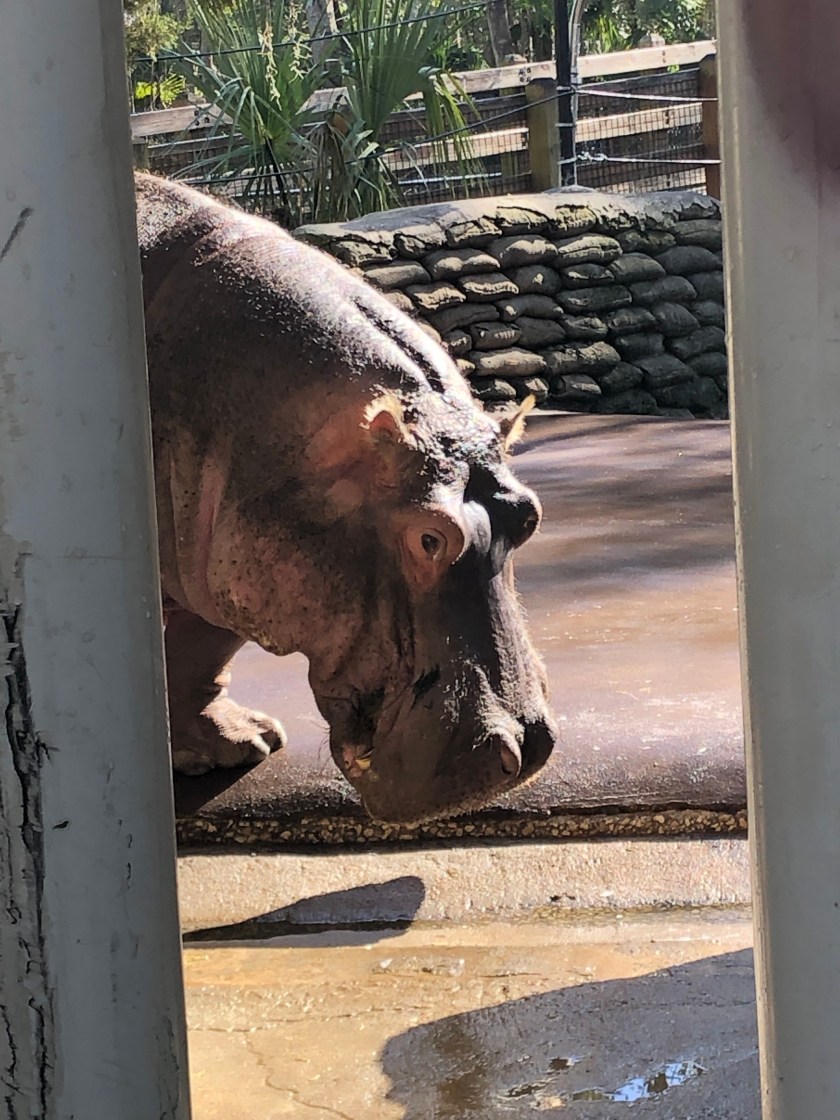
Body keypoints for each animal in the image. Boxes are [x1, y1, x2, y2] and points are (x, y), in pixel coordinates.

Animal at [135, 173, 557, 824]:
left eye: (531, 516)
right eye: (430, 537)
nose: (527, 745)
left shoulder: (215, 560)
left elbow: (200, 651)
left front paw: (244, 745)